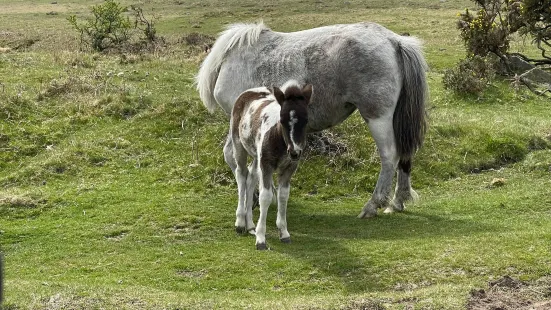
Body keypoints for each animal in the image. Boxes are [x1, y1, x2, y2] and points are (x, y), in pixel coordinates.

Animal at [229, 80, 312, 249]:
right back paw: (240, 223)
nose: (295, 152)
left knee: (251, 177)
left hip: (257, 155)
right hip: (239, 144)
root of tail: (251, 90)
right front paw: (261, 239)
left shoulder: (289, 167)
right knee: (241, 175)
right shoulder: (266, 165)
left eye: (306, 119)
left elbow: (283, 195)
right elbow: (265, 196)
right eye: (281, 119)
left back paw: (250, 225)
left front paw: (284, 233)